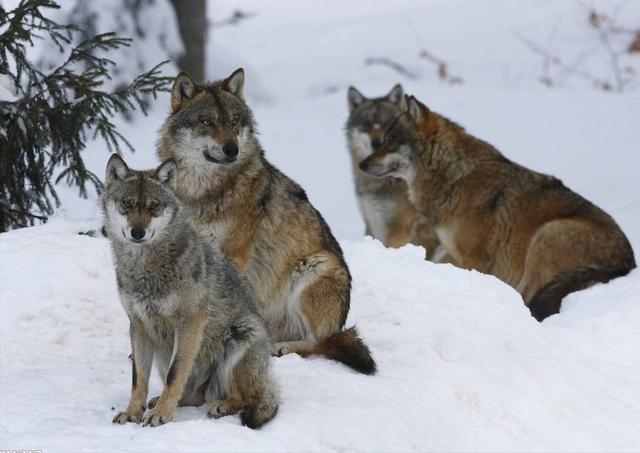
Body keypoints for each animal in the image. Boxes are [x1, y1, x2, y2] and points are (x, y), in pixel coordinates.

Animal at [156, 69, 376, 374]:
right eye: (206, 122)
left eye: (234, 121)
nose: (232, 149)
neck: (202, 191)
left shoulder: (232, 256)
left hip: (314, 269)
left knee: (321, 343)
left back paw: (282, 348)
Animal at [360, 94, 636, 322]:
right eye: (382, 141)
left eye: (391, 142)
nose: (362, 164)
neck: (455, 177)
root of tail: (628, 263)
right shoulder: (452, 252)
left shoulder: (477, 258)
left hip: (546, 236)